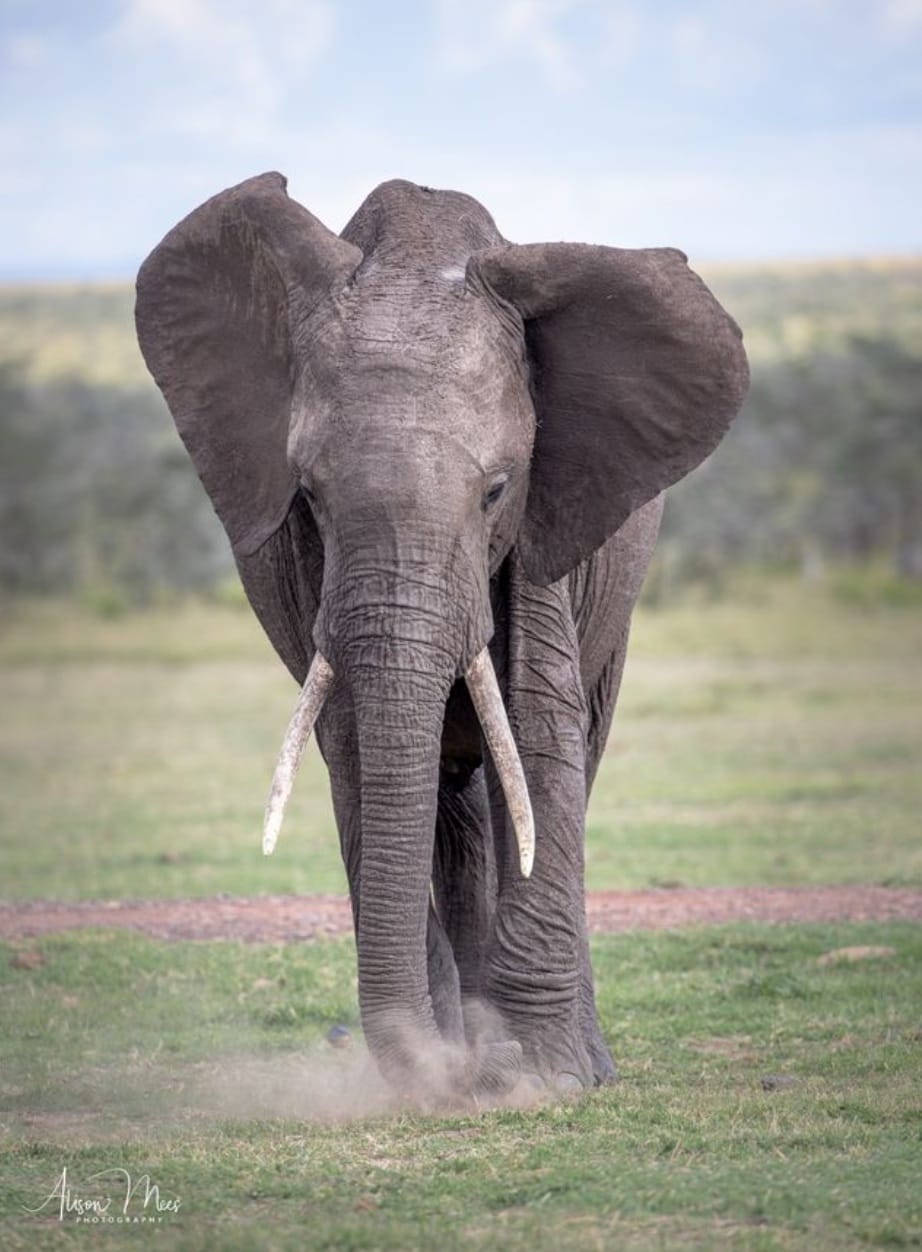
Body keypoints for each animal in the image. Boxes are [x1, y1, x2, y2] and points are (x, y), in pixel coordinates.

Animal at [136, 173, 748, 1100]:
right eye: (307, 494)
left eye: (496, 490)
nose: (470, 1069)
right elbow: (357, 746)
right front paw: (449, 1071)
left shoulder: (551, 513)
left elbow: (539, 730)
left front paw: (546, 1078)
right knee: (450, 811)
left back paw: (567, 1060)